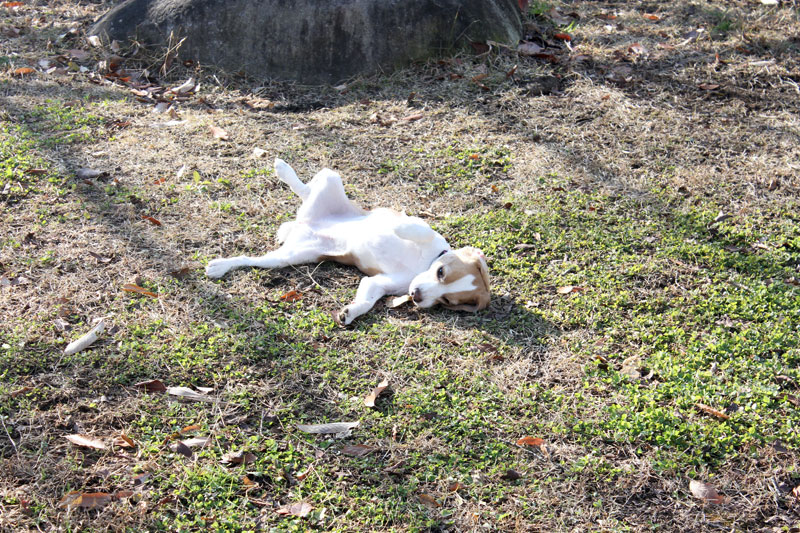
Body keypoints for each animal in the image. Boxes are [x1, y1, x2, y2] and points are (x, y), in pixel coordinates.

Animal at [205, 158, 488, 324]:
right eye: (441, 272)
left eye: (447, 301)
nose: (416, 296)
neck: (423, 263)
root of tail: (304, 223)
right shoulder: (427, 234)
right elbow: (422, 229)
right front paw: (397, 224)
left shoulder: (379, 283)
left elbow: (366, 300)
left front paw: (350, 313)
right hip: (331, 178)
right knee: (305, 188)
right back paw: (283, 168)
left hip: (287, 257)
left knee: (249, 259)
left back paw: (221, 266)